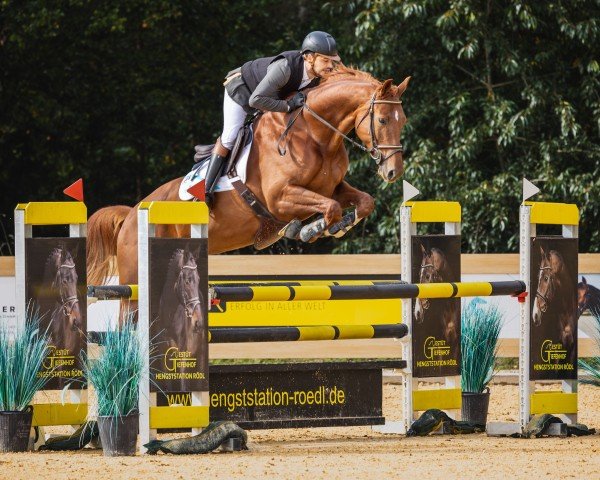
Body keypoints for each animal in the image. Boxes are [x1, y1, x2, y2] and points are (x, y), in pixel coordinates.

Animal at [86, 65, 410, 294]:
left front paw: (338, 225)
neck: (315, 135)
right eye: (382, 120)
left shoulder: (333, 187)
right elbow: (329, 208)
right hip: (134, 277)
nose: (393, 172)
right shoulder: (281, 198)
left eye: (403, 121)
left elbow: (363, 202)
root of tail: (130, 214)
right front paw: (309, 229)